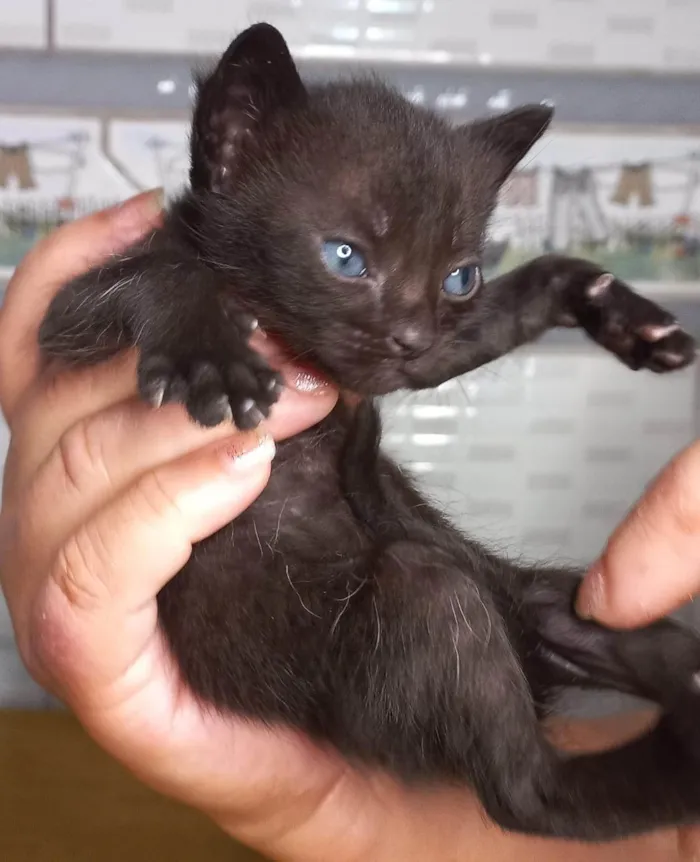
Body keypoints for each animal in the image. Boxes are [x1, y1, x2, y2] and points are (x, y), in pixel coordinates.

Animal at [37, 25, 700, 844]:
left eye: (460, 278)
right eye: (345, 257)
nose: (411, 337)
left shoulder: (432, 351)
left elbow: (504, 309)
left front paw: (611, 305)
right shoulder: (66, 325)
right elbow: (159, 277)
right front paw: (211, 349)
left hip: (518, 588)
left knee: (559, 632)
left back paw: (664, 666)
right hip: (417, 598)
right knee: (522, 794)